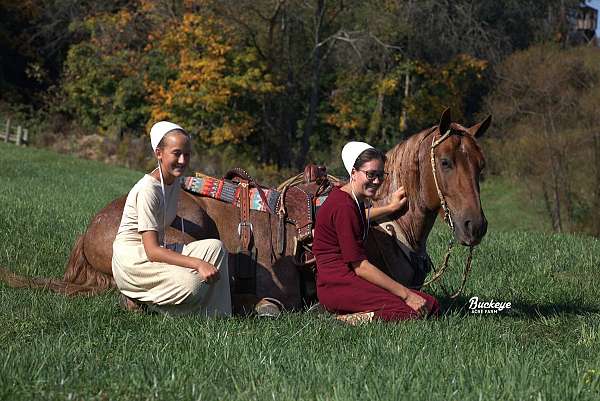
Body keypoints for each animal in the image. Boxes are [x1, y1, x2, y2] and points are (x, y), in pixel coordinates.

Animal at [0, 108, 490, 310]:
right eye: (447, 162)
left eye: (481, 165)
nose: (475, 226)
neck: (389, 233)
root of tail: (89, 232)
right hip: (189, 230)